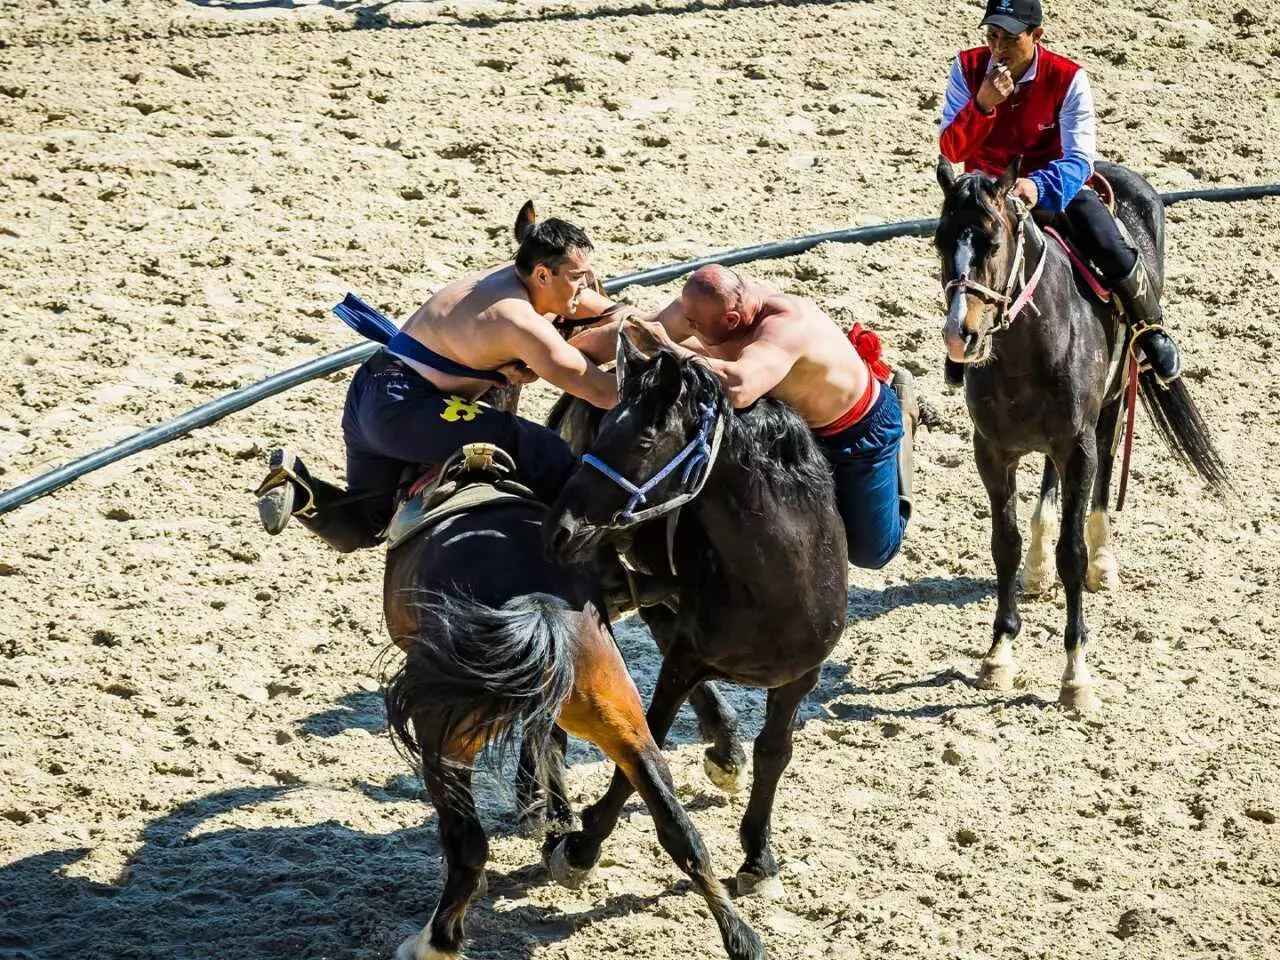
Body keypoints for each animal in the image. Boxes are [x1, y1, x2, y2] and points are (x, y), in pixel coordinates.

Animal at [378, 455, 757, 957]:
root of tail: (543, 607)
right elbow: (548, 746)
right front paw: (555, 822)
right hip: (627, 728)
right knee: (681, 832)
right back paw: (743, 938)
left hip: (446, 738)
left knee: (468, 844)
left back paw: (435, 941)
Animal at [542, 330, 849, 901]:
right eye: (604, 427)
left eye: (644, 441)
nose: (560, 529)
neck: (775, 585)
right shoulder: (684, 660)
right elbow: (644, 751)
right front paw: (581, 849)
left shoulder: (800, 677)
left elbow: (774, 752)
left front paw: (758, 857)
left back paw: (725, 751)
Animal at [942, 160, 1228, 716]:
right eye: (941, 241)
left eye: (992, 242)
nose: (959, 335)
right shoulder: (992, 451)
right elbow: (1003, 544)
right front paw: (999, 655)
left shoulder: (1078, 448)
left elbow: (1070, 555)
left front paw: (1076, 675)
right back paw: (1035, 569)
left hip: (1112, 402)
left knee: (1105, 466)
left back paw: (1103, 561)